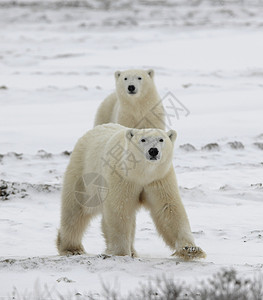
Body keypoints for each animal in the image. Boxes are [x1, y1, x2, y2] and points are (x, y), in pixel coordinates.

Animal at [57, 123, 206, 260]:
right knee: (75, 211)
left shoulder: (159, 179)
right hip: (84, 173)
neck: (141, 173)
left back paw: (132, 251)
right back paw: (72, 248)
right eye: (143, 139)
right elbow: (119, 209)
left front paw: (191, 249)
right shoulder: (122, 177)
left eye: (161, 139)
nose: (153, 151)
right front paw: (121, 252)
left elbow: (168, 208)